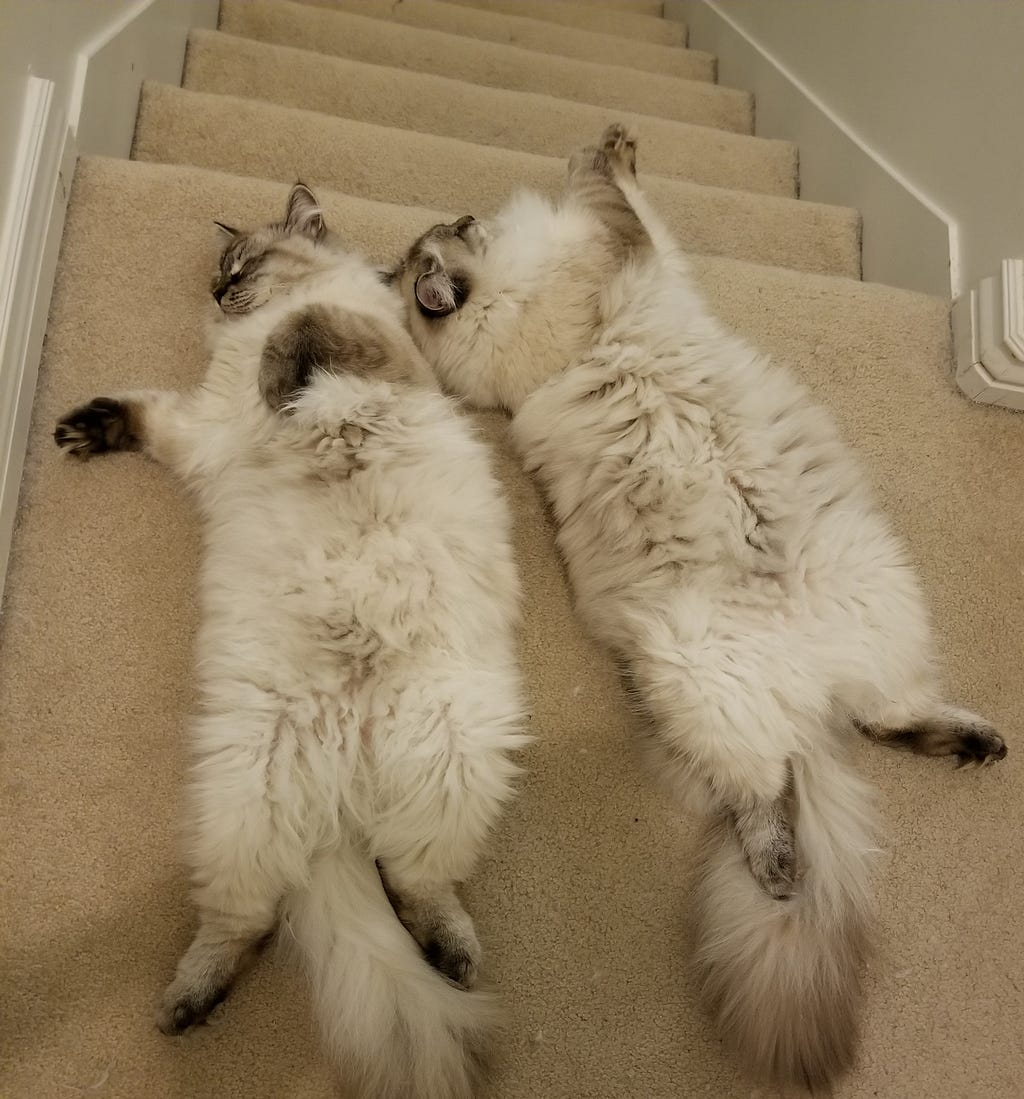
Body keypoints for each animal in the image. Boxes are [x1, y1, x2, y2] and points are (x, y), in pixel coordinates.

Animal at [54, 184, 527, 1094]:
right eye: (217, 275)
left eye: (241, 267)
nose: (217, 296)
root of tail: (345, 778)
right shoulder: (205, 431)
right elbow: (151, 412)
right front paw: (85, 430)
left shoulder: (367, 350)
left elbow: (304, 331)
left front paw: (283, 361)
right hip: (252, 789)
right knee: (251, 921)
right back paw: (187, 1003)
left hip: (447, 755)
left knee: (416, 886)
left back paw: (453, 959)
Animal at [388, 126, 1006, 1090]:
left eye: (455, 226)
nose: (456, 220)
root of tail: (804, 691)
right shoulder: (611, 263)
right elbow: (613, 201)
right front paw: (607, 148)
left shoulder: (638, 261)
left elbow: (628, 204)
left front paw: (614, 142)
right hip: (706, 679)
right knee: (770, 790)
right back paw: (784, 869)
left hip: (875, 604)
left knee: (880, 716)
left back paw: (969, 743)